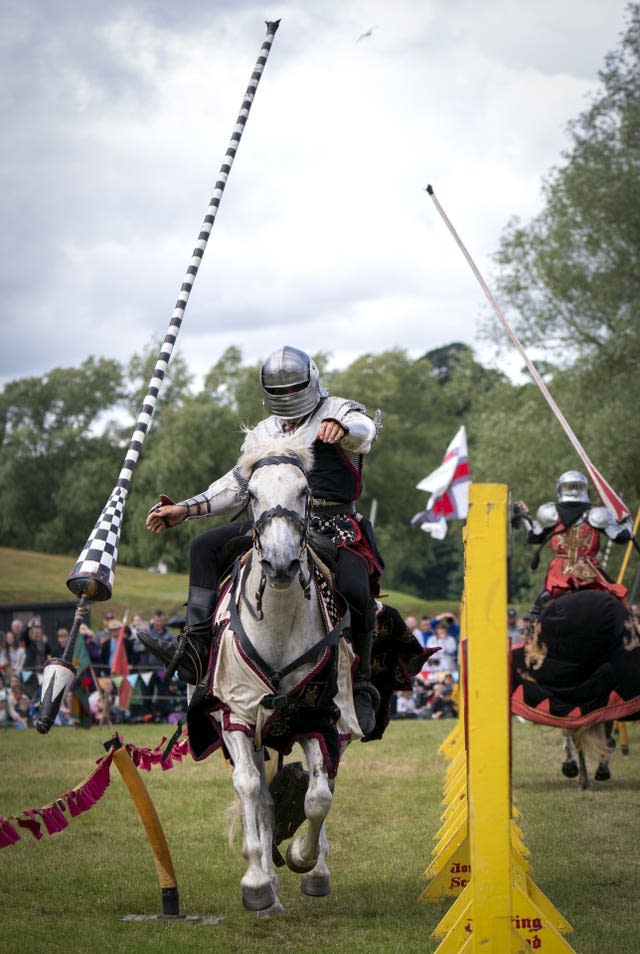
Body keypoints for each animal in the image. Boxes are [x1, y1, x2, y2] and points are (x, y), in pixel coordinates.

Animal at [206, 428, 362, 912]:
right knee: (258, 790)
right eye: (252, 495)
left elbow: (317, 797)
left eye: (304, 491)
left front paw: (305, 861)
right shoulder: (237, 716)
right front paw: (257, 881)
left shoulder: (315, 716)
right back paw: (267, 882)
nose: (279, 563)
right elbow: (250, 788)